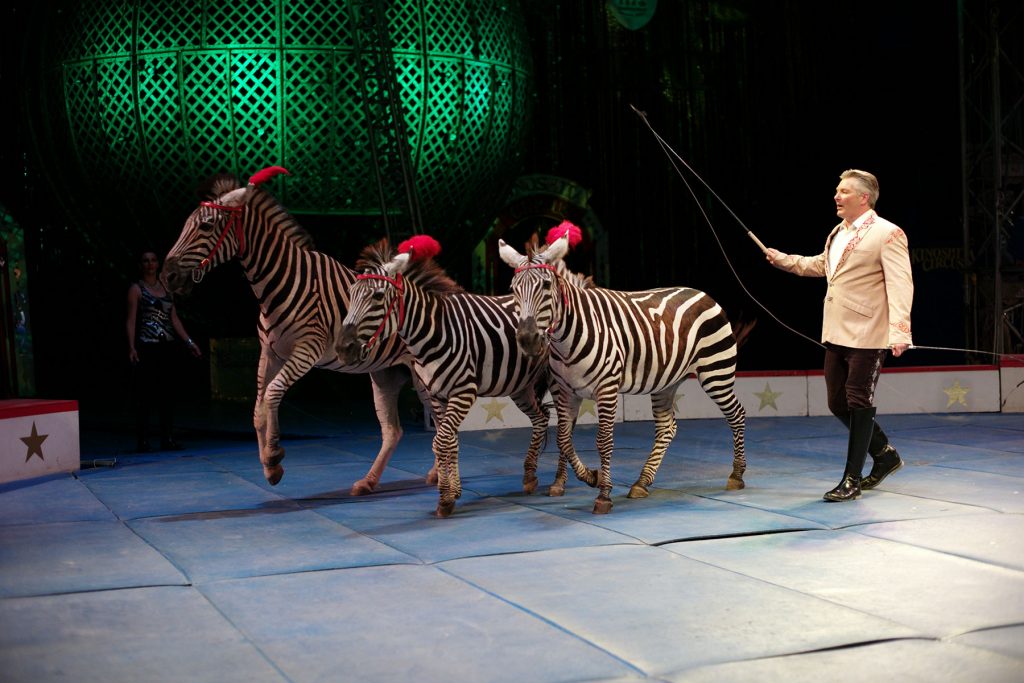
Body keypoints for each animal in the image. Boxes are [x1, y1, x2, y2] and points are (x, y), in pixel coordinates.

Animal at [160, 167, 432, 493]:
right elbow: (258, 409)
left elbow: (273, 393)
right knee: (394, 430)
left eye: (205, 225)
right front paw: (269, 466)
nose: (167, 275)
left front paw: (274, 456)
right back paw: (370, 482)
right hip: (385, 374)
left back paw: (436, 474)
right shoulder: (270, 352)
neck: (280, 281)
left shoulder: (306, 351)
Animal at [337, 235, 561, 518]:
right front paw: (453, 491)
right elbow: (448, 441)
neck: (433, 332)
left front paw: (445, 498)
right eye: (351, 295)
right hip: (520, 385)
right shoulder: (437, 395)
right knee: (541, 418)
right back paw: (530, 476)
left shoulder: (463, 392)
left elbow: (442, 440)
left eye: (377, 297)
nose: (342, 348)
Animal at [495, 229, 745, 511]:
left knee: (736, 414)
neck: (568, 336)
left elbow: (603, 440)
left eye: (547, 286)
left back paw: (736, 474)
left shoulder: (607, 389)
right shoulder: (567, 391)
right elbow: (564, 438)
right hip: (667, 382)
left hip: (716, 371)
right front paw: (589, 477)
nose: (527, 340)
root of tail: (702, 293)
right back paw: (641, 482)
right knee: (666, 428)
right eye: (513, 290)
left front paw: (603, 493)